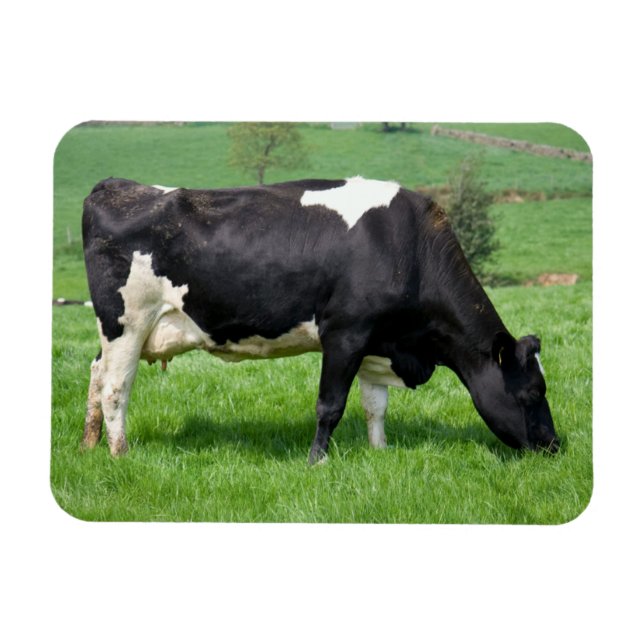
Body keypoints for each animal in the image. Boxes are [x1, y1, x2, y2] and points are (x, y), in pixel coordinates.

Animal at [81, 176, 559, 464]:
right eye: (532, 392)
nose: (555, 445)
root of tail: (116, 186)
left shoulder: (376, 340)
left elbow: (375, 405)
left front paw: (380, 452)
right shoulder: (345, 334)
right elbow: (330, 405)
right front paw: (317, 461)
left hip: (118, 330)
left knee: (95, 373)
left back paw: (89, 443)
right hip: (127, 322)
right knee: (116, 387)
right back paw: (120, 453)